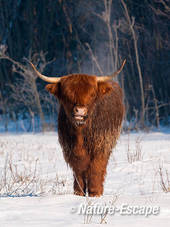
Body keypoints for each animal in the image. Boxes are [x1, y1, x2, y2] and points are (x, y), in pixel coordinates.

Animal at [26, 59, 125, 196]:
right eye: (67, 94)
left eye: (92, 94)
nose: (80, 111)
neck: (80, 133)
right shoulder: (70, 149)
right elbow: (79, 169)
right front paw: (79, 192)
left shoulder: (101, 146)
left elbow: (96, 168)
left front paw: (95, 192)